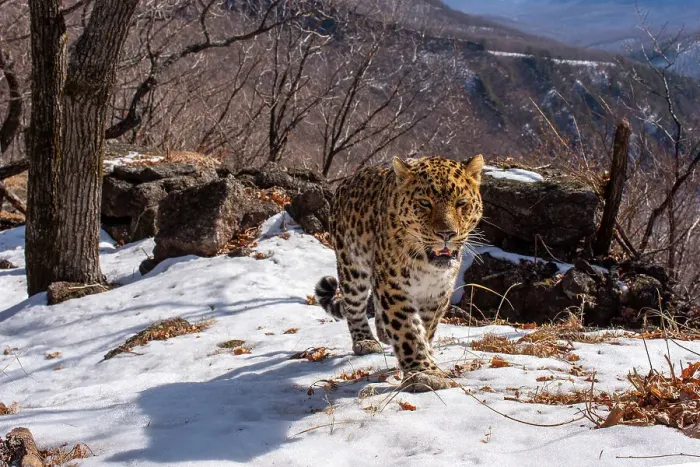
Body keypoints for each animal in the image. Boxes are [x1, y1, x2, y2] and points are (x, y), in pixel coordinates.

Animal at [314, 155, 484, 392]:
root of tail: (346, 182)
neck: (426, 266)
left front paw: (426, 355)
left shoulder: (437, 293)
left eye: (461, 203)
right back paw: (365, 341)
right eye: (425, 203)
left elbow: (426, 327)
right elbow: (408, 330)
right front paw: (424, 374)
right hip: (351, 266)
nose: (446, 234)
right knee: (354, 307)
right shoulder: (393, 286)